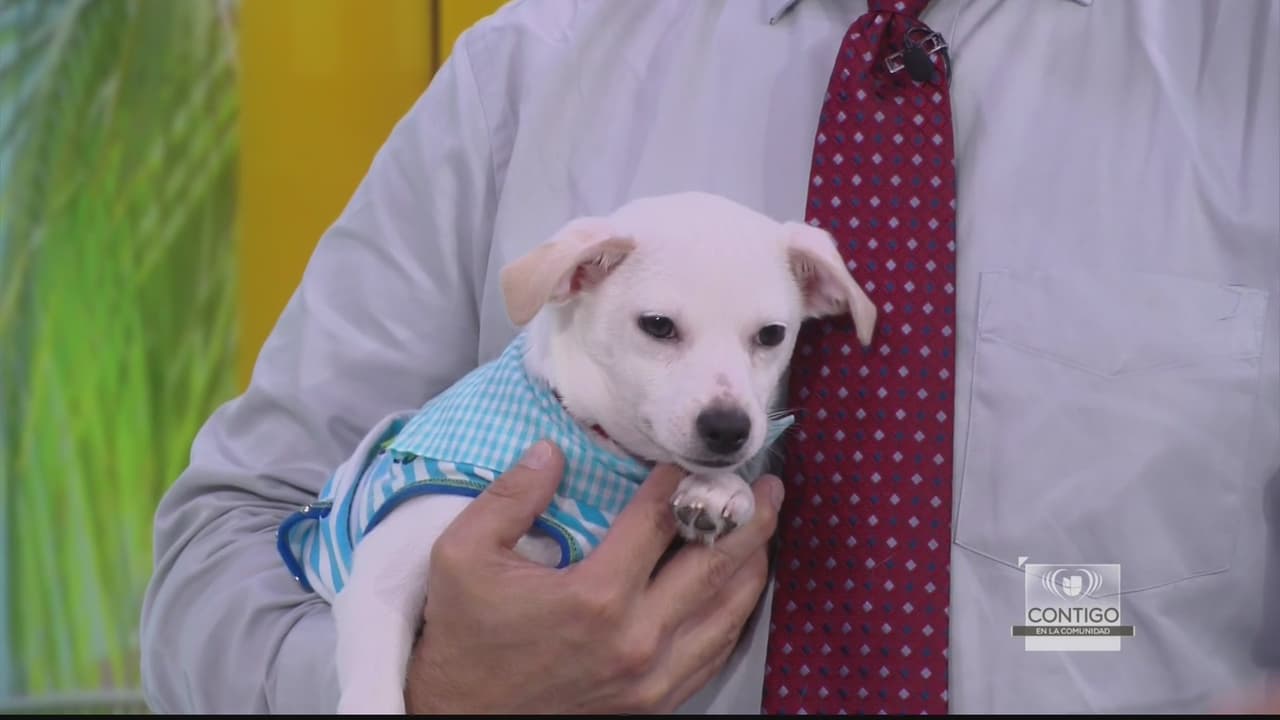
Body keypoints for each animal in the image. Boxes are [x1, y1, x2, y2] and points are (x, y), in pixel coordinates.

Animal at [276, 191, 877, 713]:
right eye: (658, 326)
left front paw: (718, 490)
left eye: (772, 335)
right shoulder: (384, 569)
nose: (728, 429)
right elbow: (375, 682)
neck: (593, 446)